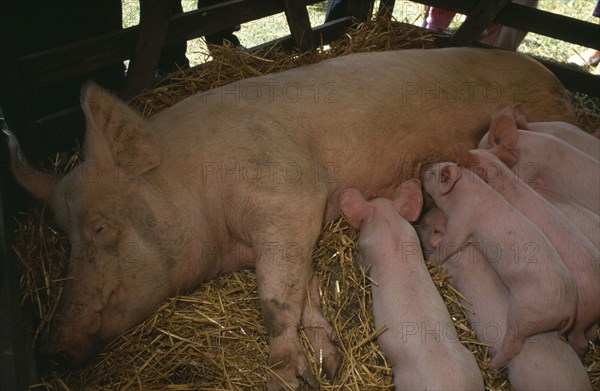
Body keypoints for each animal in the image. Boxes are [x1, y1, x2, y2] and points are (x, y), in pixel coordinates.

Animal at [422, 161, 576, 370]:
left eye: (432, 173)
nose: (422, 172)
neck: (459, 194)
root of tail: (570, 306)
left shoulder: (460, 223)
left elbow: (449, 245)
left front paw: (430, 262)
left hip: (525, 312)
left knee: (514, 345)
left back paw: (490, 365)